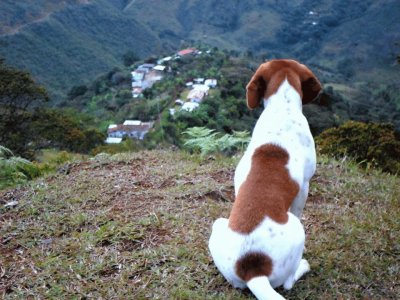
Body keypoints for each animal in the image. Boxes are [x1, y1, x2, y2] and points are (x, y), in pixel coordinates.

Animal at [208, 59, 320, 300]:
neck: (282, 107)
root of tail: (253, 269)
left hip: (218, 224)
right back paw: (303, 266)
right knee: (288, 283)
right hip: (298, 230)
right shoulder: (304, 187)